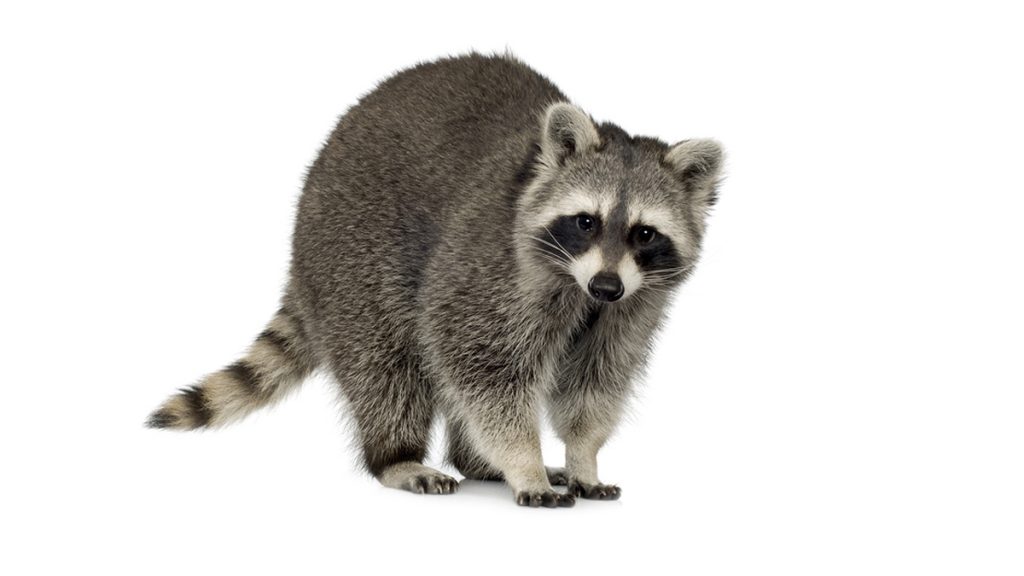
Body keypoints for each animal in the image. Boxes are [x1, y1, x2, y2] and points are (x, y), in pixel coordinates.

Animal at [147, 52, 723, 508]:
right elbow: (484, 368)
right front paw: (524, 461)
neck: (577, 282)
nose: (605, 287)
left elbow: (596, 380)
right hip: (351, 253)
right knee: (386, 365)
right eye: (586, 222)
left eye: (644, 233)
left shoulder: (635, 304)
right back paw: (397, 456)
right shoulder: (488, 269)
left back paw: (475, 461)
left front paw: (583, 456)